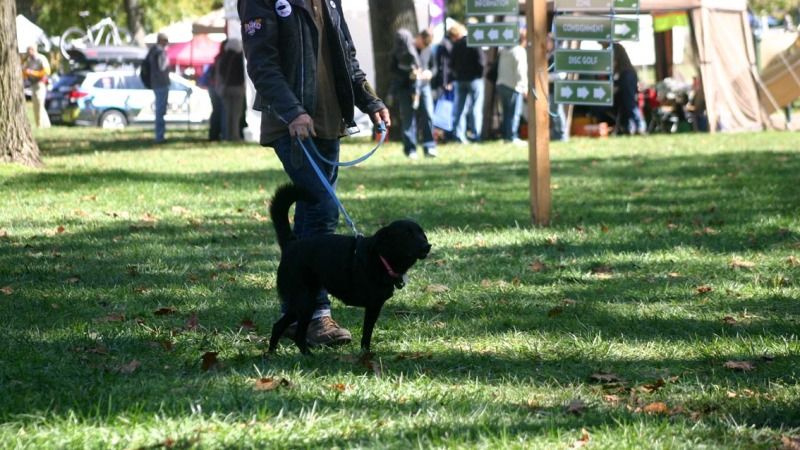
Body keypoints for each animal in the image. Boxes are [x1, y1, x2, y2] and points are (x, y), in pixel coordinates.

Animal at [268, 184, 432, 356]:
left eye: (422, 234)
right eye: (407, 235)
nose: (427, 246)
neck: (381, 257)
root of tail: (291, 244)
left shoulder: (376, 306)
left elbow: (368, 332)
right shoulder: (372, 305)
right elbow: (367, 333)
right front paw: (365, 354)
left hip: (303, 303)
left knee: (281, 327)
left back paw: (274, 353)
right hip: (304, 301)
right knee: (295, 332)